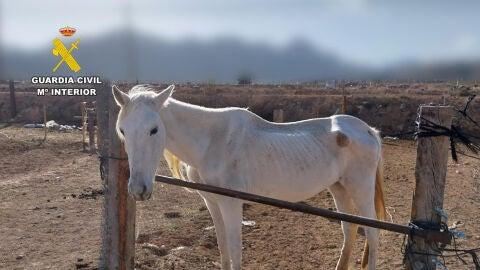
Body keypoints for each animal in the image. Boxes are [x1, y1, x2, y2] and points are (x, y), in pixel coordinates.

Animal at [112, 83, 386, 268]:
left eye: (154, 129)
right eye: (123, 130)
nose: (138, 190)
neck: (212, 142)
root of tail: (367, 130)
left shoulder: (231, 203)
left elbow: (235, 250)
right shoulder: (212, 202)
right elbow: (223, 247)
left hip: (361, 190)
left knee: (372, 233)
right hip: (339, 187)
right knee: (349, 229)